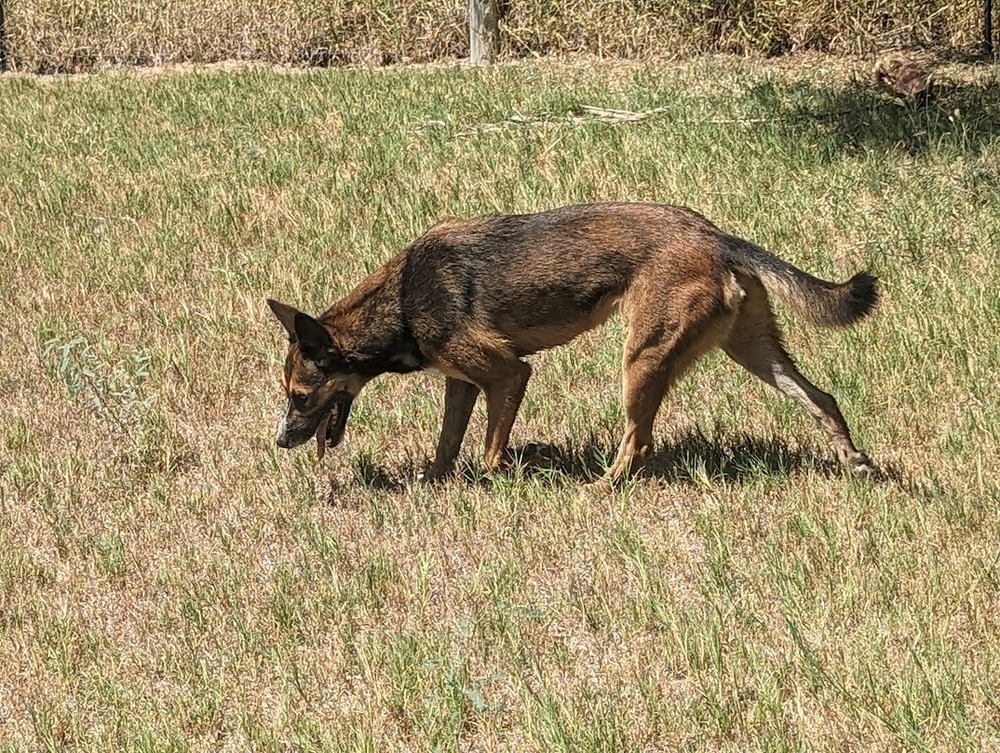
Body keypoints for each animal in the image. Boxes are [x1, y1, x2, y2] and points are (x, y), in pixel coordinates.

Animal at [264, 201, 876, 482]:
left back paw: (597, 488)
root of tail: (716, 236)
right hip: (751, 349)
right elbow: (446, 449)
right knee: (824, 398)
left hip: (642, 360)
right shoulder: (463, 384)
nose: (281, 442)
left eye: (299, 397)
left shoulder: (509, 373)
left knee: (637, 444)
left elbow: (489, 455)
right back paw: (856, 461)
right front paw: (434, 486)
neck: (403, 298)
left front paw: (504, 476)